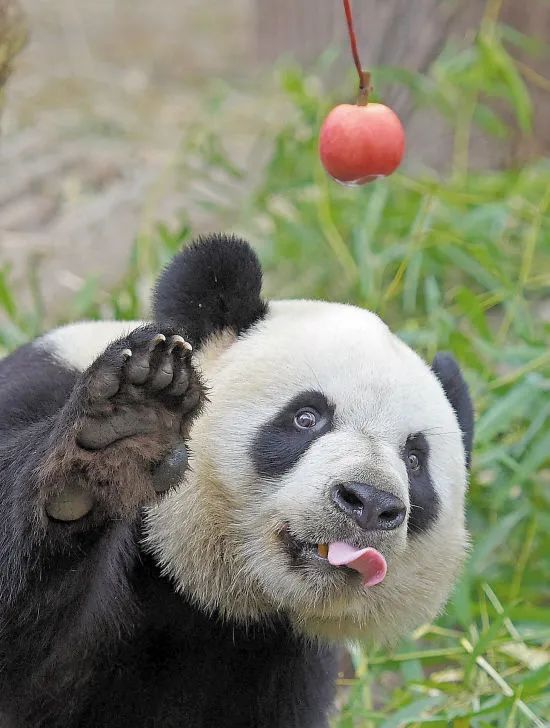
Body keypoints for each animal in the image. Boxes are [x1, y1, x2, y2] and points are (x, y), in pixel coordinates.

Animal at [0, 236, 474, 724]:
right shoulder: (35, 394)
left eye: (414, 459)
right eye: (307, 417)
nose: (369, 502)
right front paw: (119, 437)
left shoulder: (273, 658)